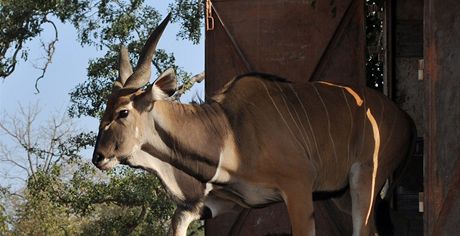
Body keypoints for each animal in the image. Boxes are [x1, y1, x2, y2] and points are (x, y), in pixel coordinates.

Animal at [91, 13, 416, 235]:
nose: (99, 158)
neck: (230, 132)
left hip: (365, 178)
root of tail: (405, 119)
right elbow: (179, 219)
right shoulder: (221, 203)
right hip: (341, 195)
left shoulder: (298, 188)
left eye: (123, 112)